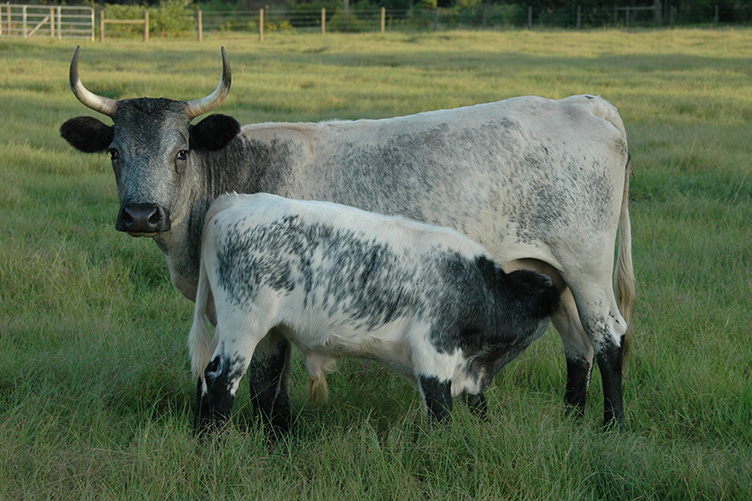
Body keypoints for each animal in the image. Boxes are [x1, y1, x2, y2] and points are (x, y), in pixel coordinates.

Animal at [189, 192, 561, 433]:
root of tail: (236, 201)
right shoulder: (434, 353)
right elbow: (440, 414)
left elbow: (477, 403)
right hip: (245, 325)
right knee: (221, 380)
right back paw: (216, 443)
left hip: (259, 331)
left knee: (238, 382)